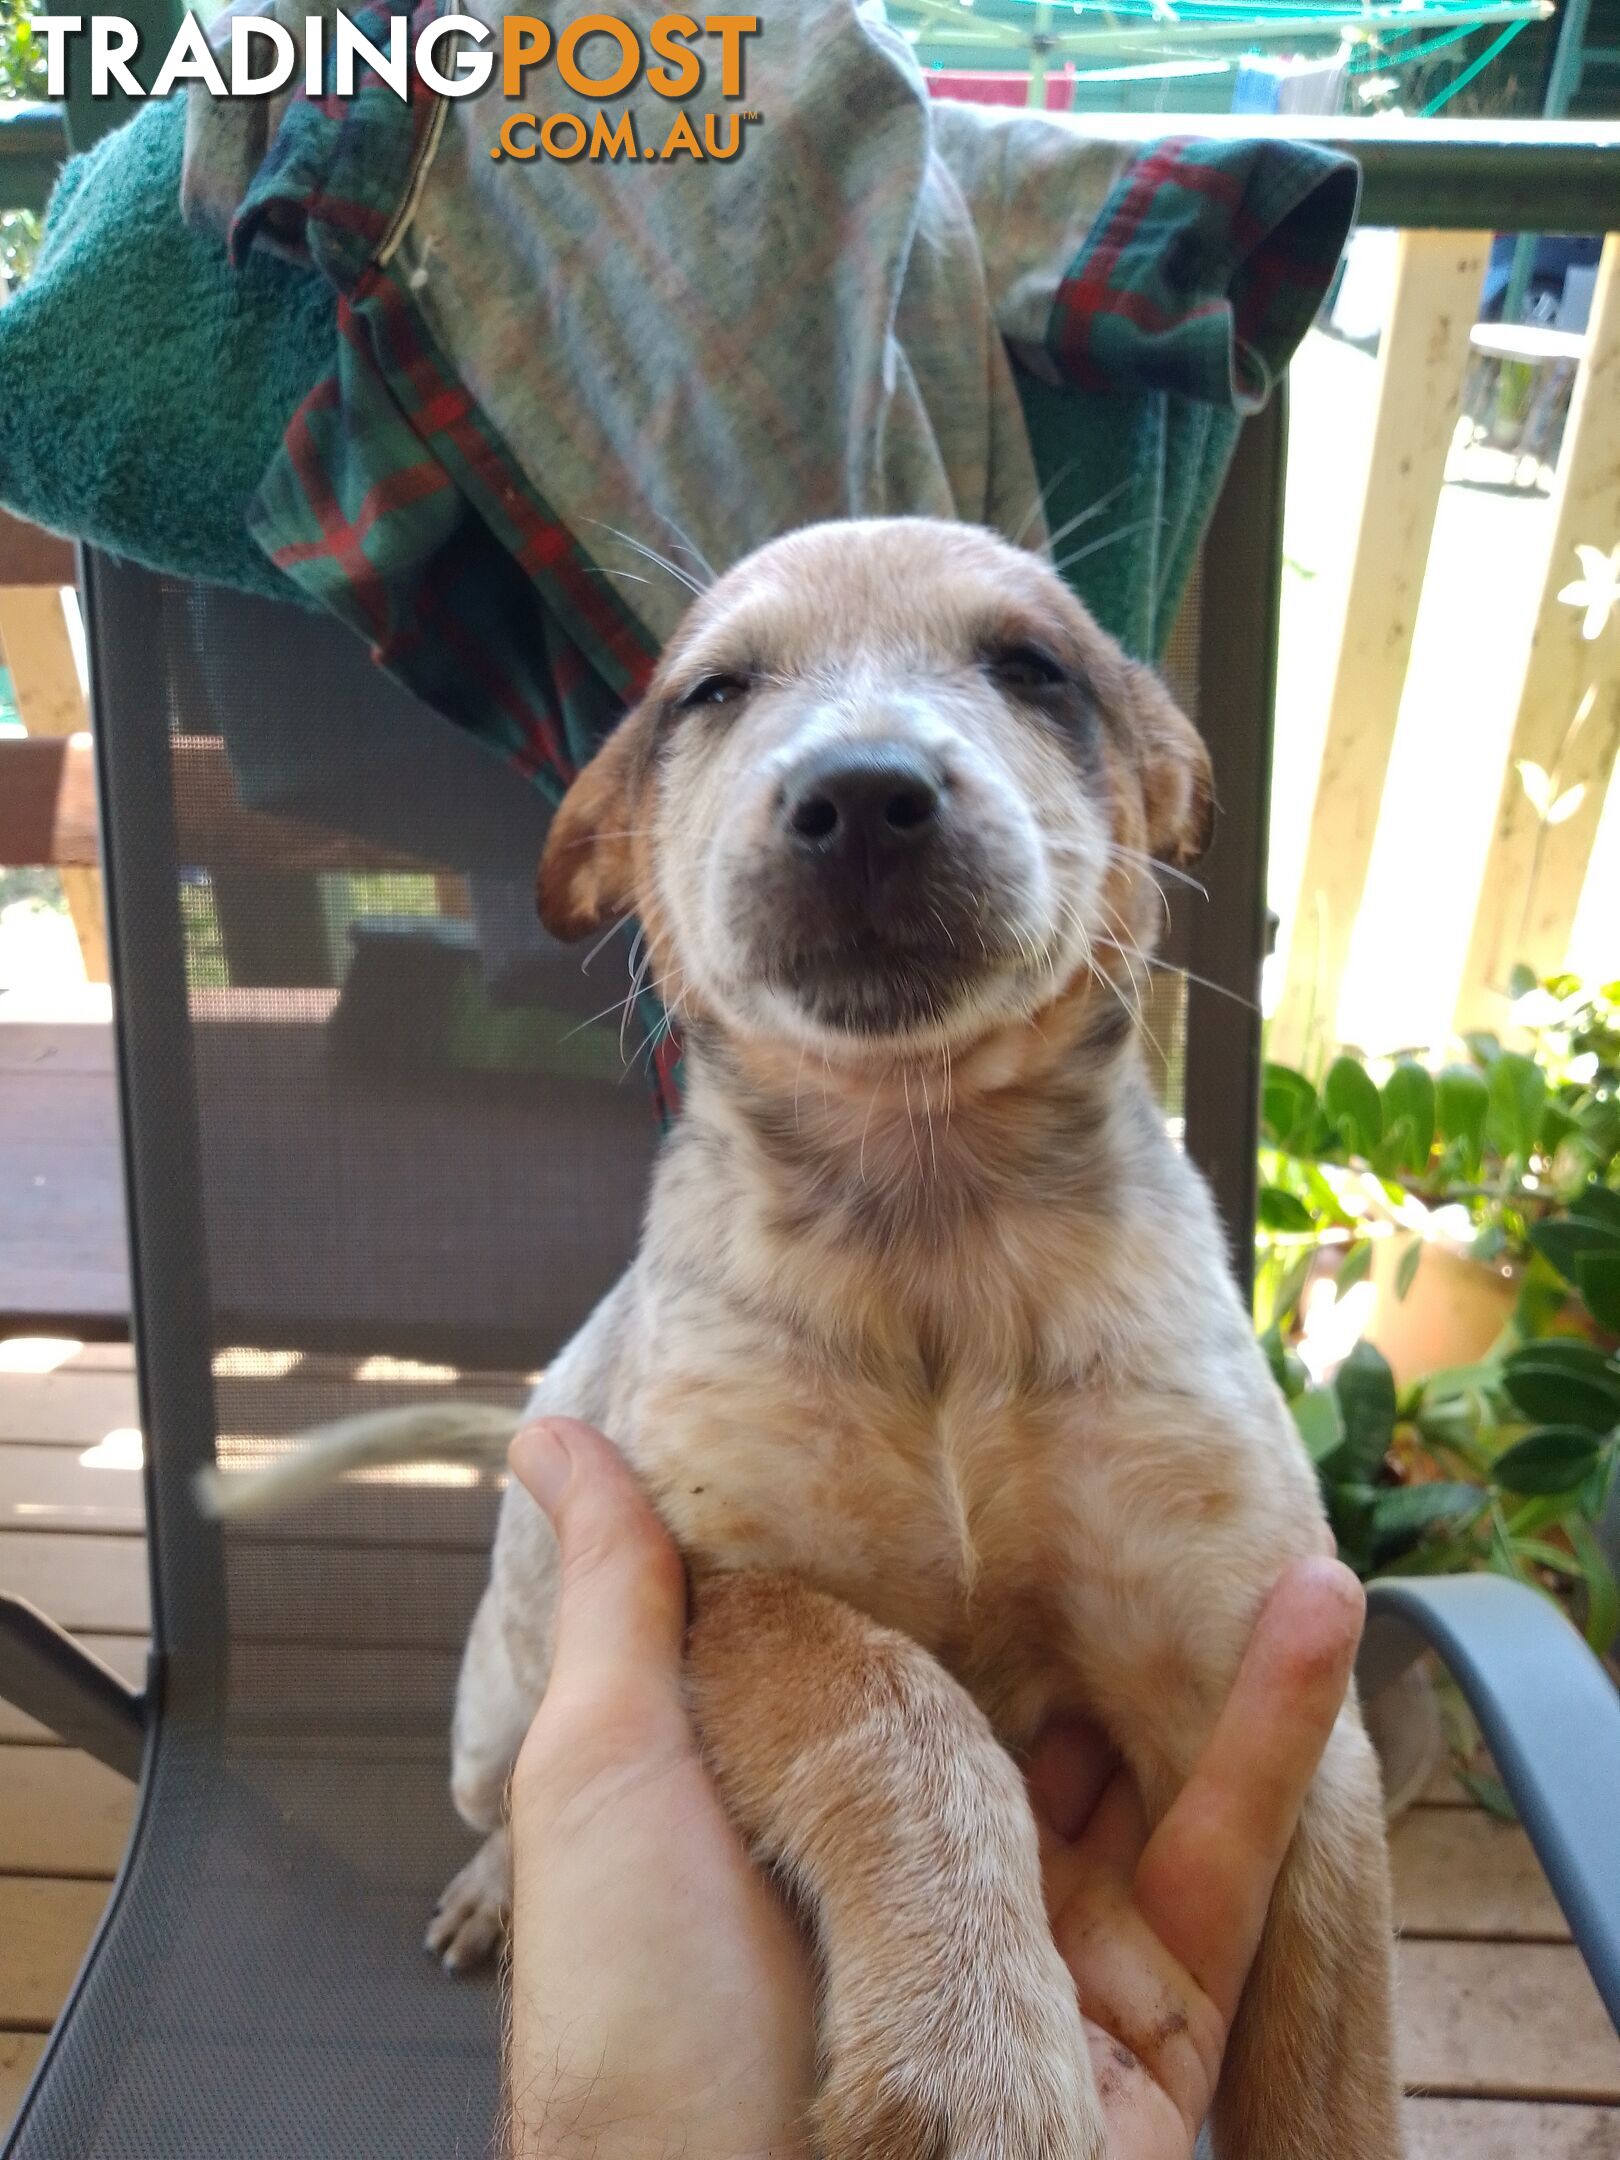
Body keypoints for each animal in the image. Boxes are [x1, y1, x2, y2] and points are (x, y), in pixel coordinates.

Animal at [434, 518, 1408, 2160]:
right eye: (715, 690)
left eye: (1034, 667)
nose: (863, 792)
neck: (936, 1224)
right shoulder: (724, 1584)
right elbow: (897, 1705)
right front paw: (977, 2057)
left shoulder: (1264, 1667)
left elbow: (1335, 2082)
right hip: (496, 1698)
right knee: (505, 1798)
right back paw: (494, 1894)